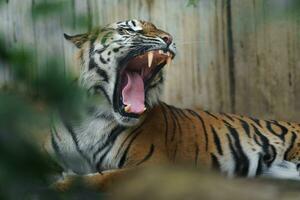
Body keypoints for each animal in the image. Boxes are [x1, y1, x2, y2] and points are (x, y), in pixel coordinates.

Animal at [47, 19, 300, 191]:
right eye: (128, 29)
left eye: (158, 28)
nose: (168, 38)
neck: (94, 116)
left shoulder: (153, 166)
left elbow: (105, 177)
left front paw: (62, 183)